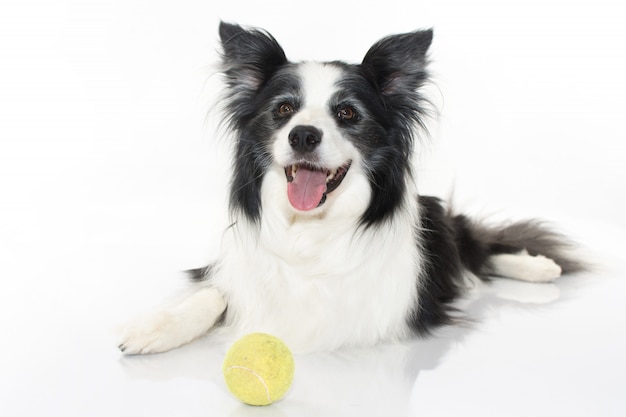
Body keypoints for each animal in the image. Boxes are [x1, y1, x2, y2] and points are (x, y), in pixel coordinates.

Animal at [119, 23, 584, 354]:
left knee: (474, 244)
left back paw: (538, 266)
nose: (303, 135)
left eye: (347, 113)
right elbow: (214, 296)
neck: (309, 226)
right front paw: (154, 329)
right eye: (283, 109)